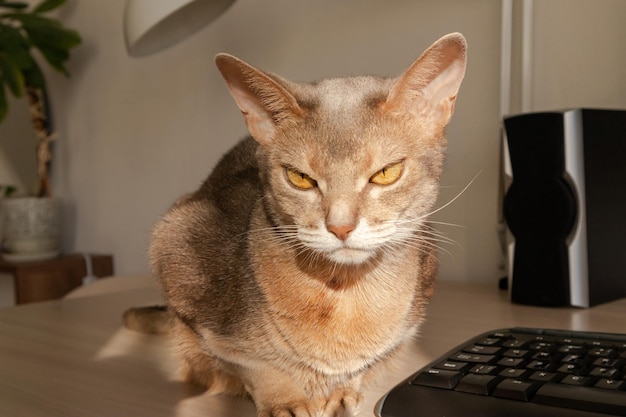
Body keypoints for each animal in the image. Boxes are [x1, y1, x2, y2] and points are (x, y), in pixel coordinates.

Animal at [129, 32, 466, 416]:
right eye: (300, 178)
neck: (343, 294)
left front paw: (344, 390)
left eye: (386, 173)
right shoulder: (178, 254)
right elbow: (249, 362)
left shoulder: (405, 328)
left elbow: (366, 365)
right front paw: (284, 399)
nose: (340, 227)